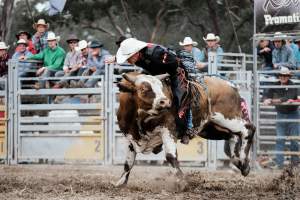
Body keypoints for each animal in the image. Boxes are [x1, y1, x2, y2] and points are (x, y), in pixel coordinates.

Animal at [115, 72, 255, 187]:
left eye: (161, 87)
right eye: (143, 88)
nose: (165, 101)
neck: (140, 119)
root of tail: (231, 85)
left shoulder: (168, 129)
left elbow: (170, 156)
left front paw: (182, 181)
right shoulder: (130, 137)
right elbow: (128, 162)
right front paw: (121, 182)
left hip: (228, 118)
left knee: (248, 129)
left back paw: (244, 164)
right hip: (211, 128)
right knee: (232, 136)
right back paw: (238, 162)